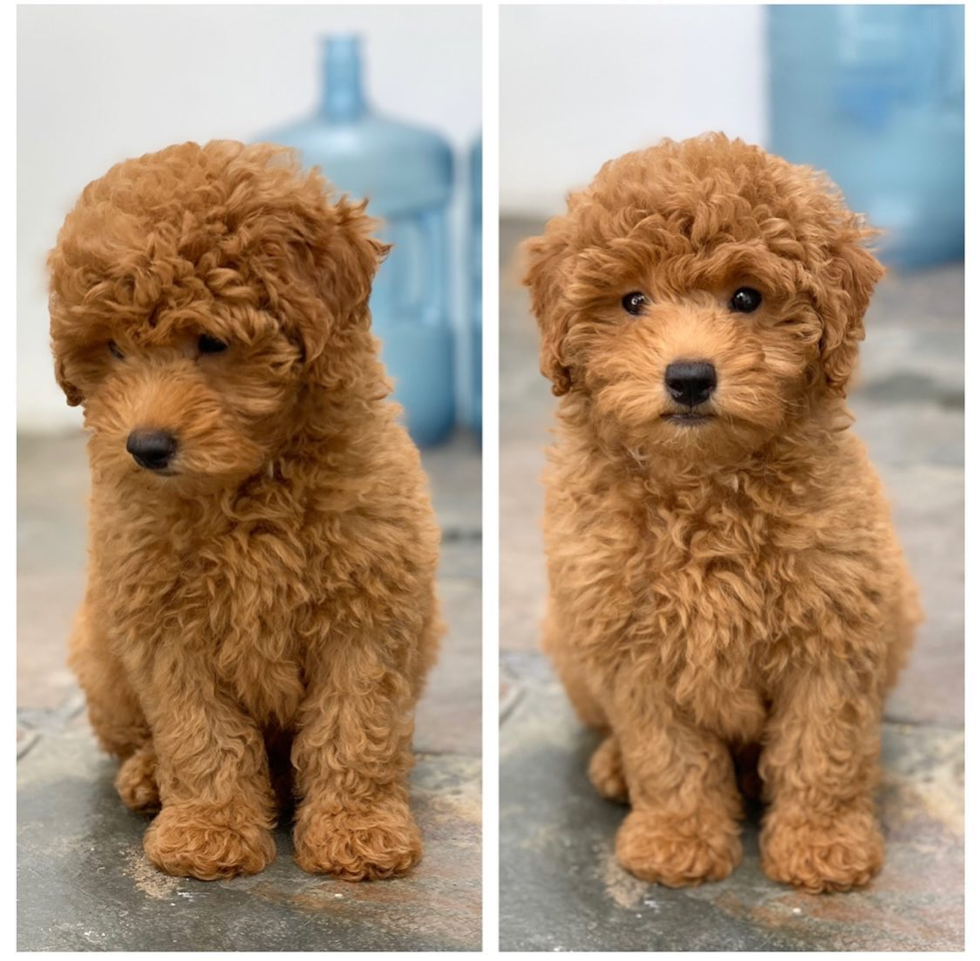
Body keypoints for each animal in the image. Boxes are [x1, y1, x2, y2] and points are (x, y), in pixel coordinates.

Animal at [49, 139, 440, 880]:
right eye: (113, 348)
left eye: (211, 342)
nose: (145, 447)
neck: (247, 488)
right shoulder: (162, 625)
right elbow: (198, 732)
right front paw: (208, 830)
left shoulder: (368, 610)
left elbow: (355, 725)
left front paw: (357, 829)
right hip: (98, 655)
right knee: (138, 736)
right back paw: (147, 776)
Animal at [528, 133, 920, 892]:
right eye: (632, 300)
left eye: (747, 297)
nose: (688, 377)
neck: (705, 488)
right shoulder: (631, 646)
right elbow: (668, 755)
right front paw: (677, 839)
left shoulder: (833, 634)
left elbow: (822, 747)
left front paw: (822, 843)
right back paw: (614, 767)